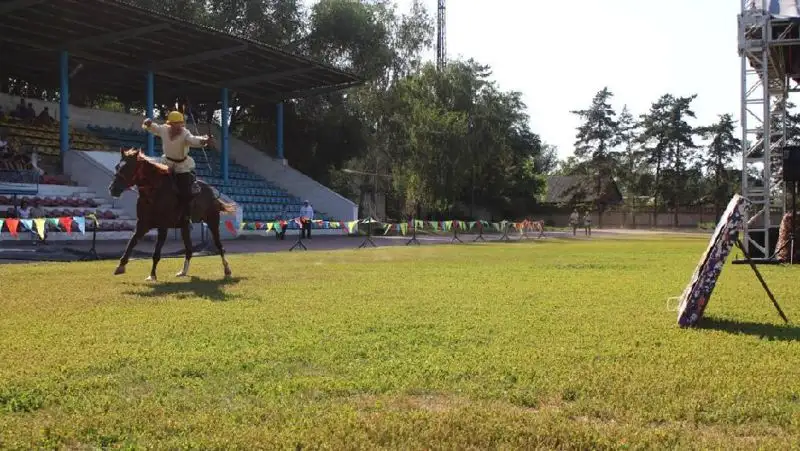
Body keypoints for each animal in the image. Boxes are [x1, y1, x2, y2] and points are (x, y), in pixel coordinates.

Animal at [108, 148, 238, 280]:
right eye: (117, 166)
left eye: (128, 167)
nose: (113, 189)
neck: (154, 192)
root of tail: (211, 191)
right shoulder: (142, 224)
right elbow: (131, 243)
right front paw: (120, 266)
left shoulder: (163, 227)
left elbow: (156, 252)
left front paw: (152, 275)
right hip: (185, 227)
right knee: (189, 249)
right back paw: (183, 271)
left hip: (212, 221)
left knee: (219, 246)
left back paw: (227, 270)